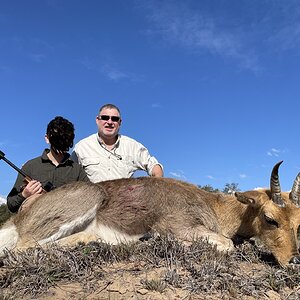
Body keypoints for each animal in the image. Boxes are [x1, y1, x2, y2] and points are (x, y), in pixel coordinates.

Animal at [0, 161, 300, 266]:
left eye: (297, 223)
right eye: (270, 219)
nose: (295, 260)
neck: (212, 204)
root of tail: (19, 218)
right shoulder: (180, 226)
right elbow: (226, 244)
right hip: (86, 202)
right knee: (21, 249)